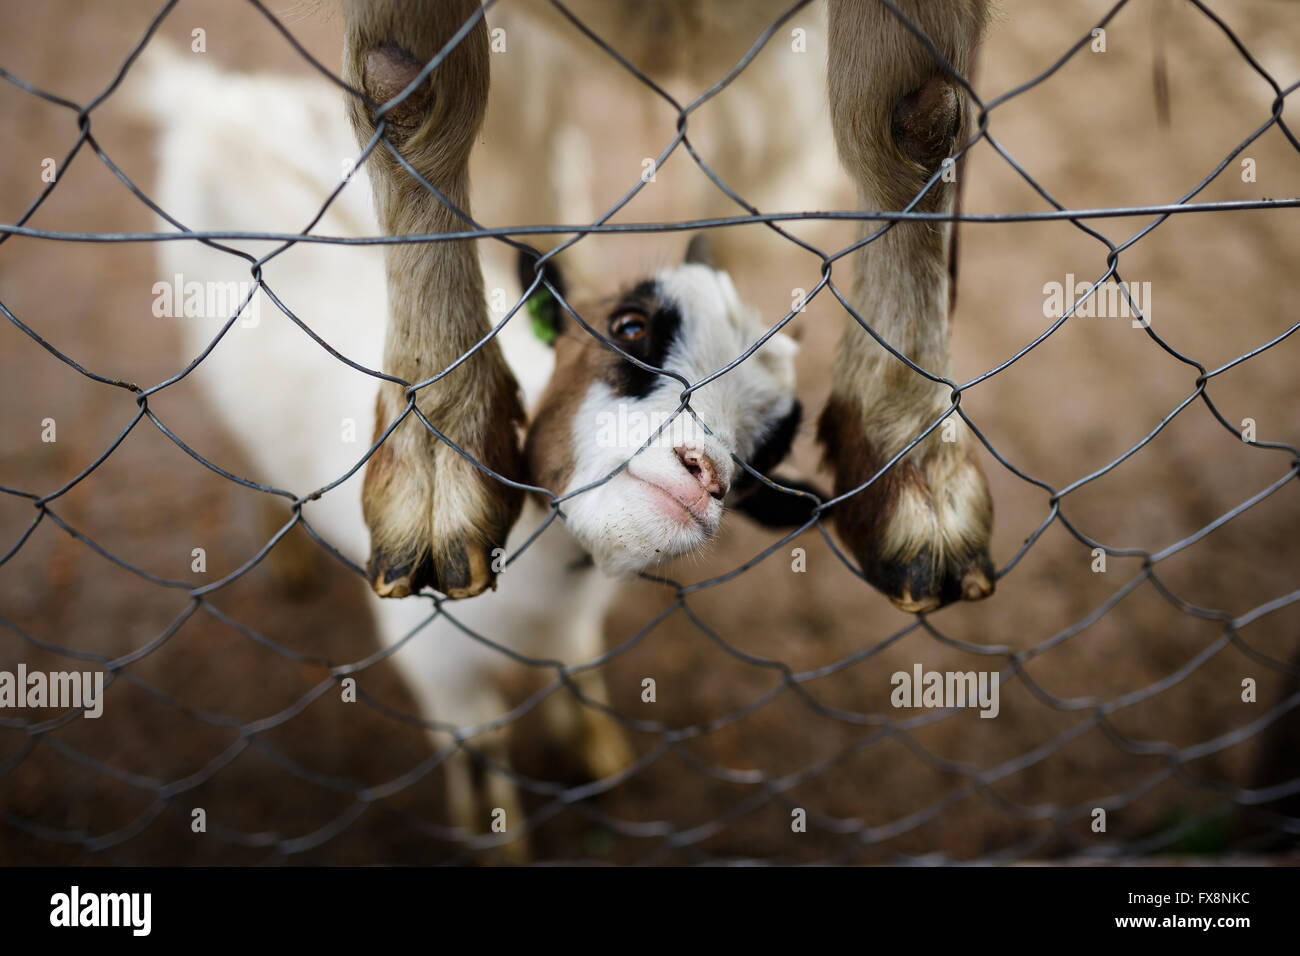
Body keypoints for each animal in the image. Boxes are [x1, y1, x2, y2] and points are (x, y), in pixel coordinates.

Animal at [139, 50, 811, 858]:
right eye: (629, 325)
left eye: (770, 450)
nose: (703, 474)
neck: (544, 582)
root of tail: (212, 102)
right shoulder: (437, 658)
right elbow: (482, 748)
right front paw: (501, 841)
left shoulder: (568, 629)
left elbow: (575, 670)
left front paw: (599, 752)